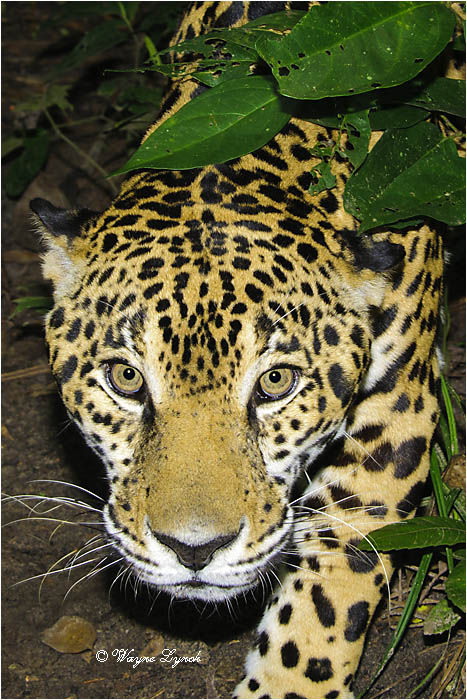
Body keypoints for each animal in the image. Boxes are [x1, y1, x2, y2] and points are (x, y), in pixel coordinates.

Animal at [30, 2, 444, 698]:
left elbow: (331, 582)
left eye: (276, 384)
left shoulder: (396, 421)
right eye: (125, 379)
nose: (194, 550)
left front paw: (289, 682)